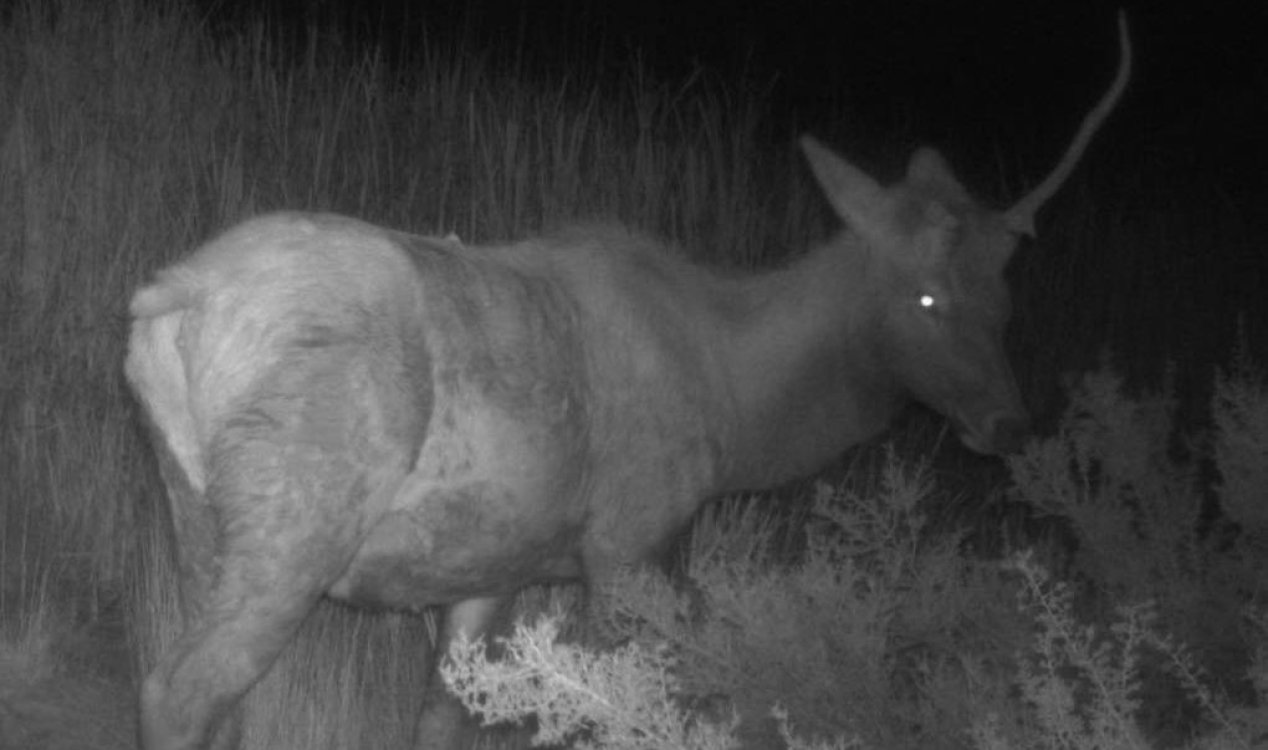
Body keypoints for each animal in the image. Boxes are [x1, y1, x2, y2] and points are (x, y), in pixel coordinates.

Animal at [126, 13, 1131, 750]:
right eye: (926, 296)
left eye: (1005, 298)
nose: (1010, 424)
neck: (737, 407)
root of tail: (174, 296)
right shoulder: (631, 543)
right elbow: (604, 711)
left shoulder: (489, 565)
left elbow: (448, 714)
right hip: (296, 513)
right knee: (181, 689)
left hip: (194, 510)